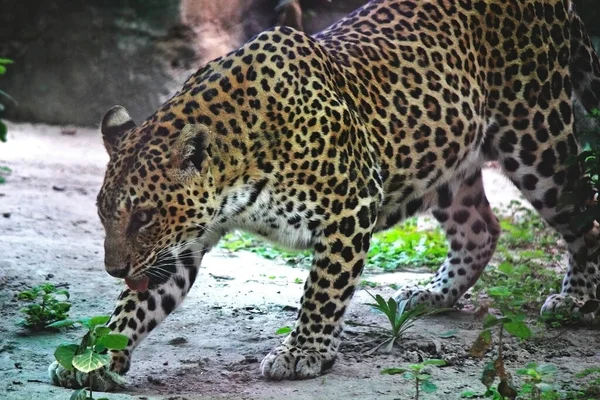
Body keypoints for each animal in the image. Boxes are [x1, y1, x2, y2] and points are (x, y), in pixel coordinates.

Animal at [48, 0, 600, 390]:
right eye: (104, 215)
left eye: (142, 216)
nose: (114, 269)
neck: (240, 159)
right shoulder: (181, 245)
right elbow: (136, 305)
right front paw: (96, 354)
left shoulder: (351, 203)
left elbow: (323, 289)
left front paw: (303, 353)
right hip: (444, 157)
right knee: (480, 229)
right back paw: (430, 295)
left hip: (538, 141)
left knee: (583, 212)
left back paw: (576, 299)